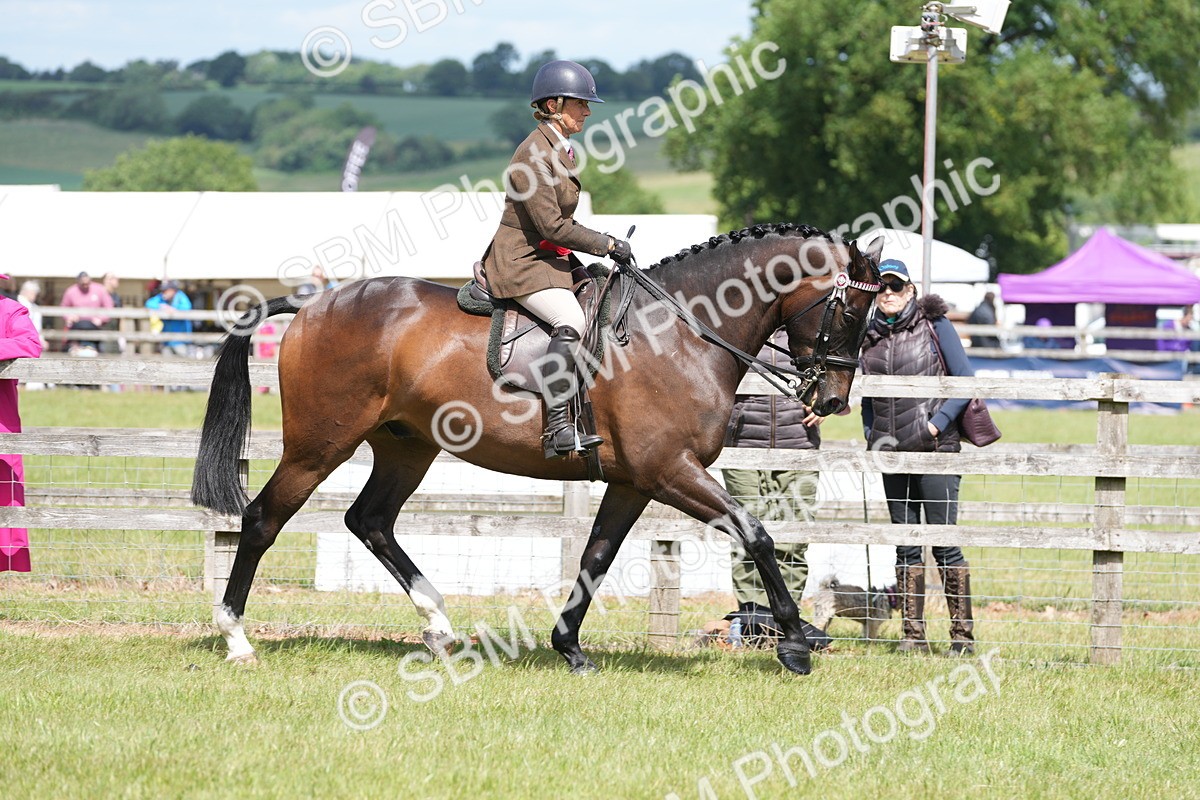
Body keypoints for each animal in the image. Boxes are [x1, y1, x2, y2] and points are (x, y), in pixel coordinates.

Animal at [191, 223, 883, 676]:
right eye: (853, 312)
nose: (833, 400)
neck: (681, 332)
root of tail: (314, 303)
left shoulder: (633, 480)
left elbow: (597, 555)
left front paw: (568, 646)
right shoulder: (670, 471)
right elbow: (756, 534)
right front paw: (794, 643)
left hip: (406, 447)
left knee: (371, 520)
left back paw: (439, 627)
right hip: (320, 444)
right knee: (262, 520)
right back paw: (236, 638)